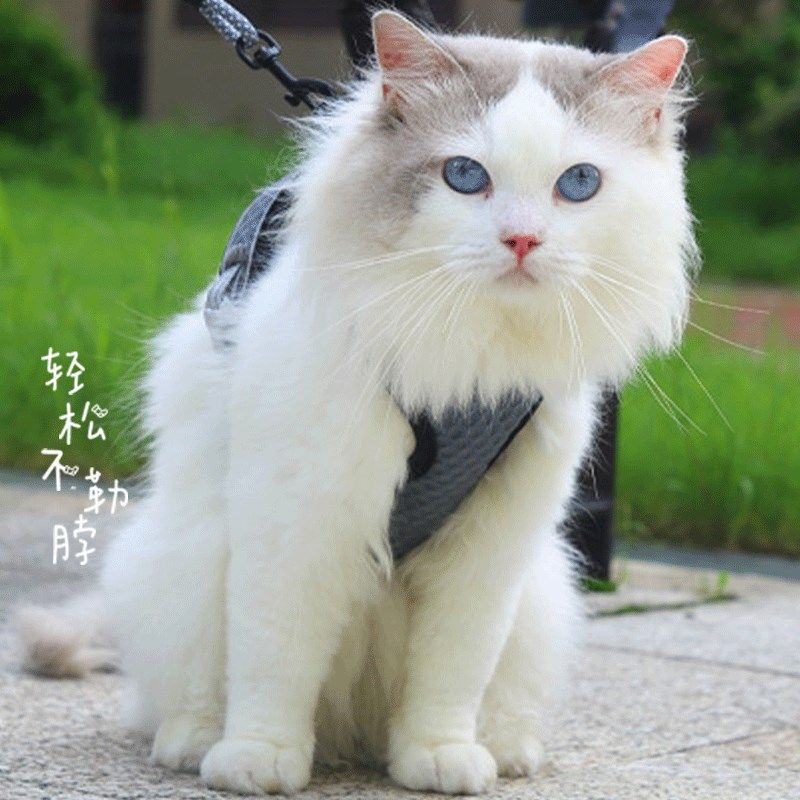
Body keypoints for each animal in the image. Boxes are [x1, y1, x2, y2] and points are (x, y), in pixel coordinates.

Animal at [17, 10, 695, 796]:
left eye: (578, 183)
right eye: (465, 176)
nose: (522, 239)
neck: (465, 365)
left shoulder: (493, 546)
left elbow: (453, 671)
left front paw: (440, 757)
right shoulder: (297, 513)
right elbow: (273, 656)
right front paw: (260, 760)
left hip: (541, 592)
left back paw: (501, 749)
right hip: (180, 556)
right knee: (181, 694)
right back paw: (196, 744)